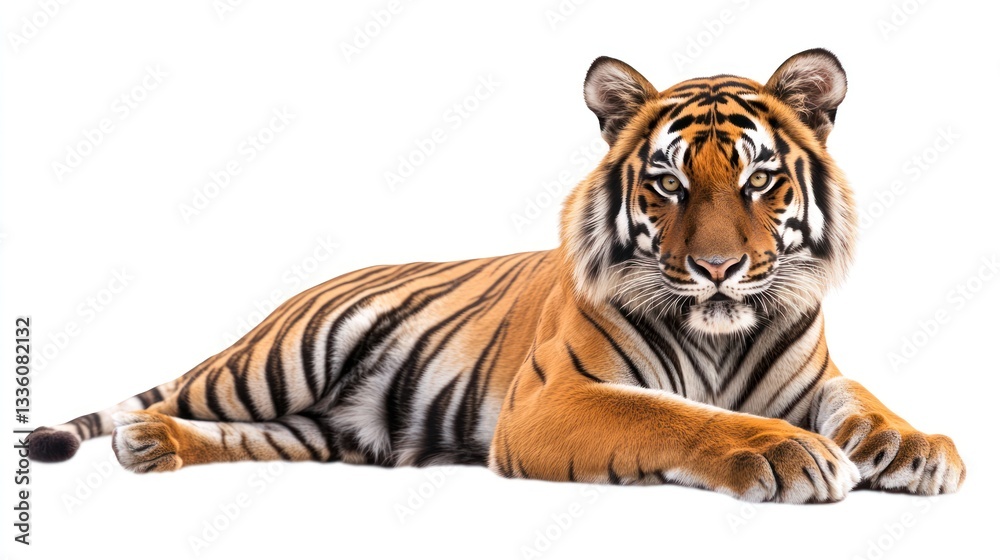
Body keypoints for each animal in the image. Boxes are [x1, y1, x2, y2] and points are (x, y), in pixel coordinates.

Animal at [28, 48, 965, 503]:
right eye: (668, 183)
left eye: (759, 179)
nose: (718, 268)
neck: (720, 334)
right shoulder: (553, 399)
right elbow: (675, 414)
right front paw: (783, 453)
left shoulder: (813, 376)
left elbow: (862, 399)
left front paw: (914, 447)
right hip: (273, 364)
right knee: (173, 393)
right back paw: (140, 435)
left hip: (326, 431)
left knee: (252, 435)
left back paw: (159, 448)